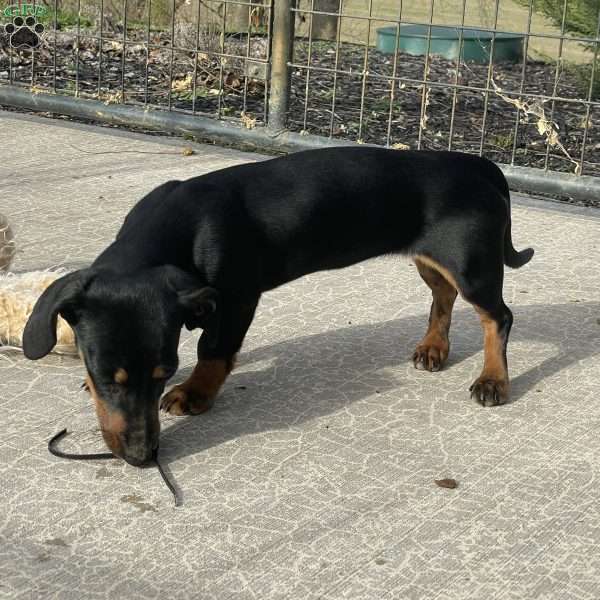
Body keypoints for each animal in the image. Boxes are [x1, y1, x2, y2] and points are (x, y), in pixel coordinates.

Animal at [21, 148, 532, 466]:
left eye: (167, 372)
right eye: (107, 377)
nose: (143, 457)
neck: (181, 224)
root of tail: (477, 165)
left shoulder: (238, 297)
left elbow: (213, 351)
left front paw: (194, 395)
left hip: (471, 265)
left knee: (498, 317)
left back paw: (492, 379)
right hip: (433, 260)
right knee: (442, 296)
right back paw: (433, 348)